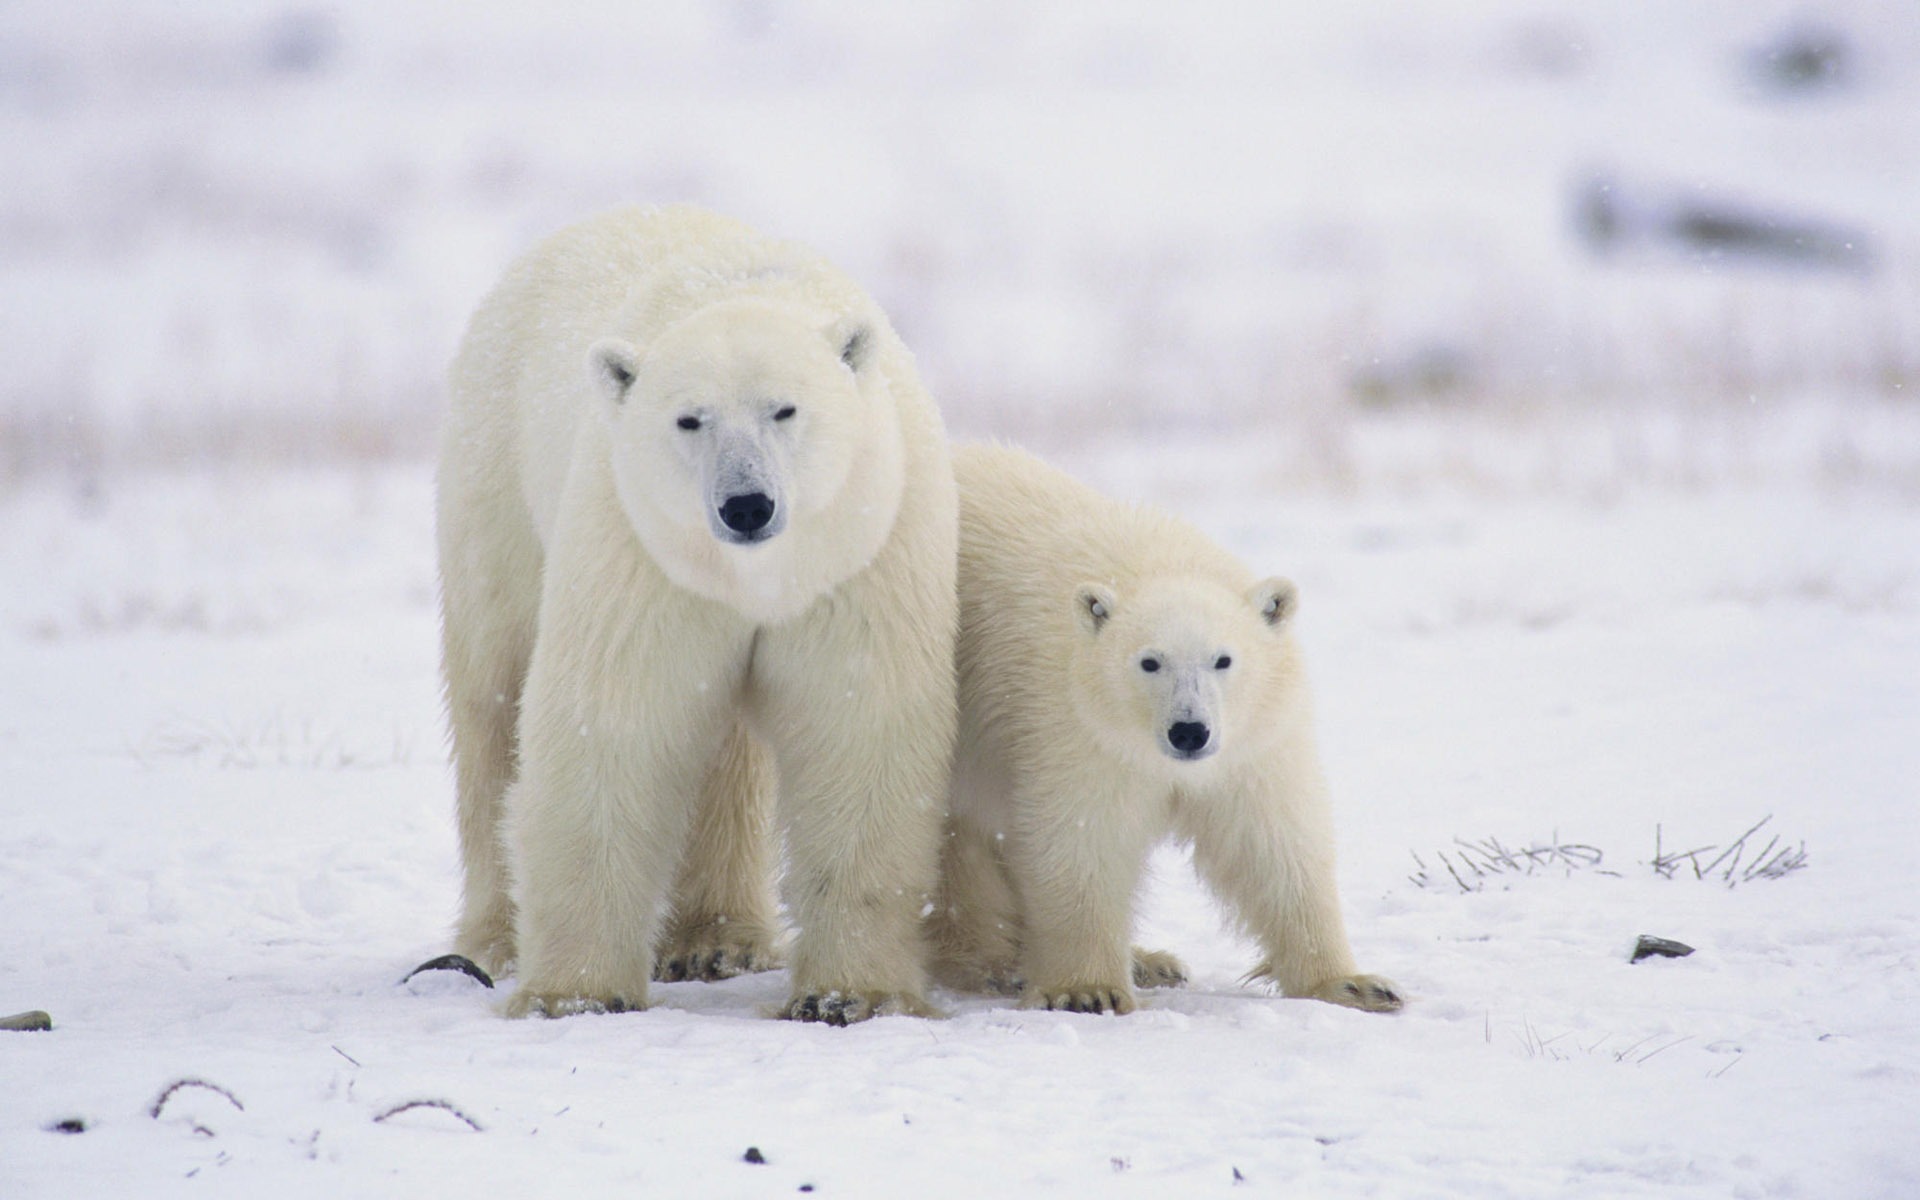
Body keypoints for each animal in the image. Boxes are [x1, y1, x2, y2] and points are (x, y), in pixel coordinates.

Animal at [439, 205, 956, 1021]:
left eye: (785, 408)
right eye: (690, 420)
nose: (746, 505)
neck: (753, 576)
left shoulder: (861, 548)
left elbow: (859, 725)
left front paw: (848, 994)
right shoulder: (642, 550)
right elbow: (614, 720)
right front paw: (575, 994)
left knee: (728, 756)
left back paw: (718, 941)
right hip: (495, 482)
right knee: (493, 697)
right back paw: (493, 940)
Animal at [933, 445, 1405, 1013]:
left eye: (1223, 659)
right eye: (1149, 662)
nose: (1189, 732)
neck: (1153, 565)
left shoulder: (1253, 742)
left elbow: (1272, 842)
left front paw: (1355, 984)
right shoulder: (1074, 726)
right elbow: (1082, 838)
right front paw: (1087, 989)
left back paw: (1150, 961)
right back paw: (990, 961)